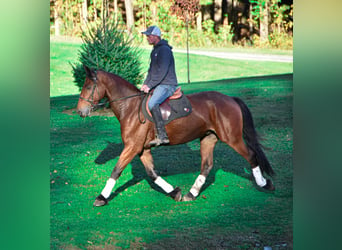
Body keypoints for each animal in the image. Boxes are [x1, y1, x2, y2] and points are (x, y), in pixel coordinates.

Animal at [77, 65, 276, 207]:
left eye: (88, 86)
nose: (80, 111)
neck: (131, 107)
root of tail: (230, 99)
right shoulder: (142, 149)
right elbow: (152, 174)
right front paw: (175, 192)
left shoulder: (132, 147)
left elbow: (116, 170)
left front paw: (101, 197)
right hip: (208, 138)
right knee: (206, 166)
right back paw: (191, 194)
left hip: (232, 138)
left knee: (251, 156)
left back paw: (264, 184)